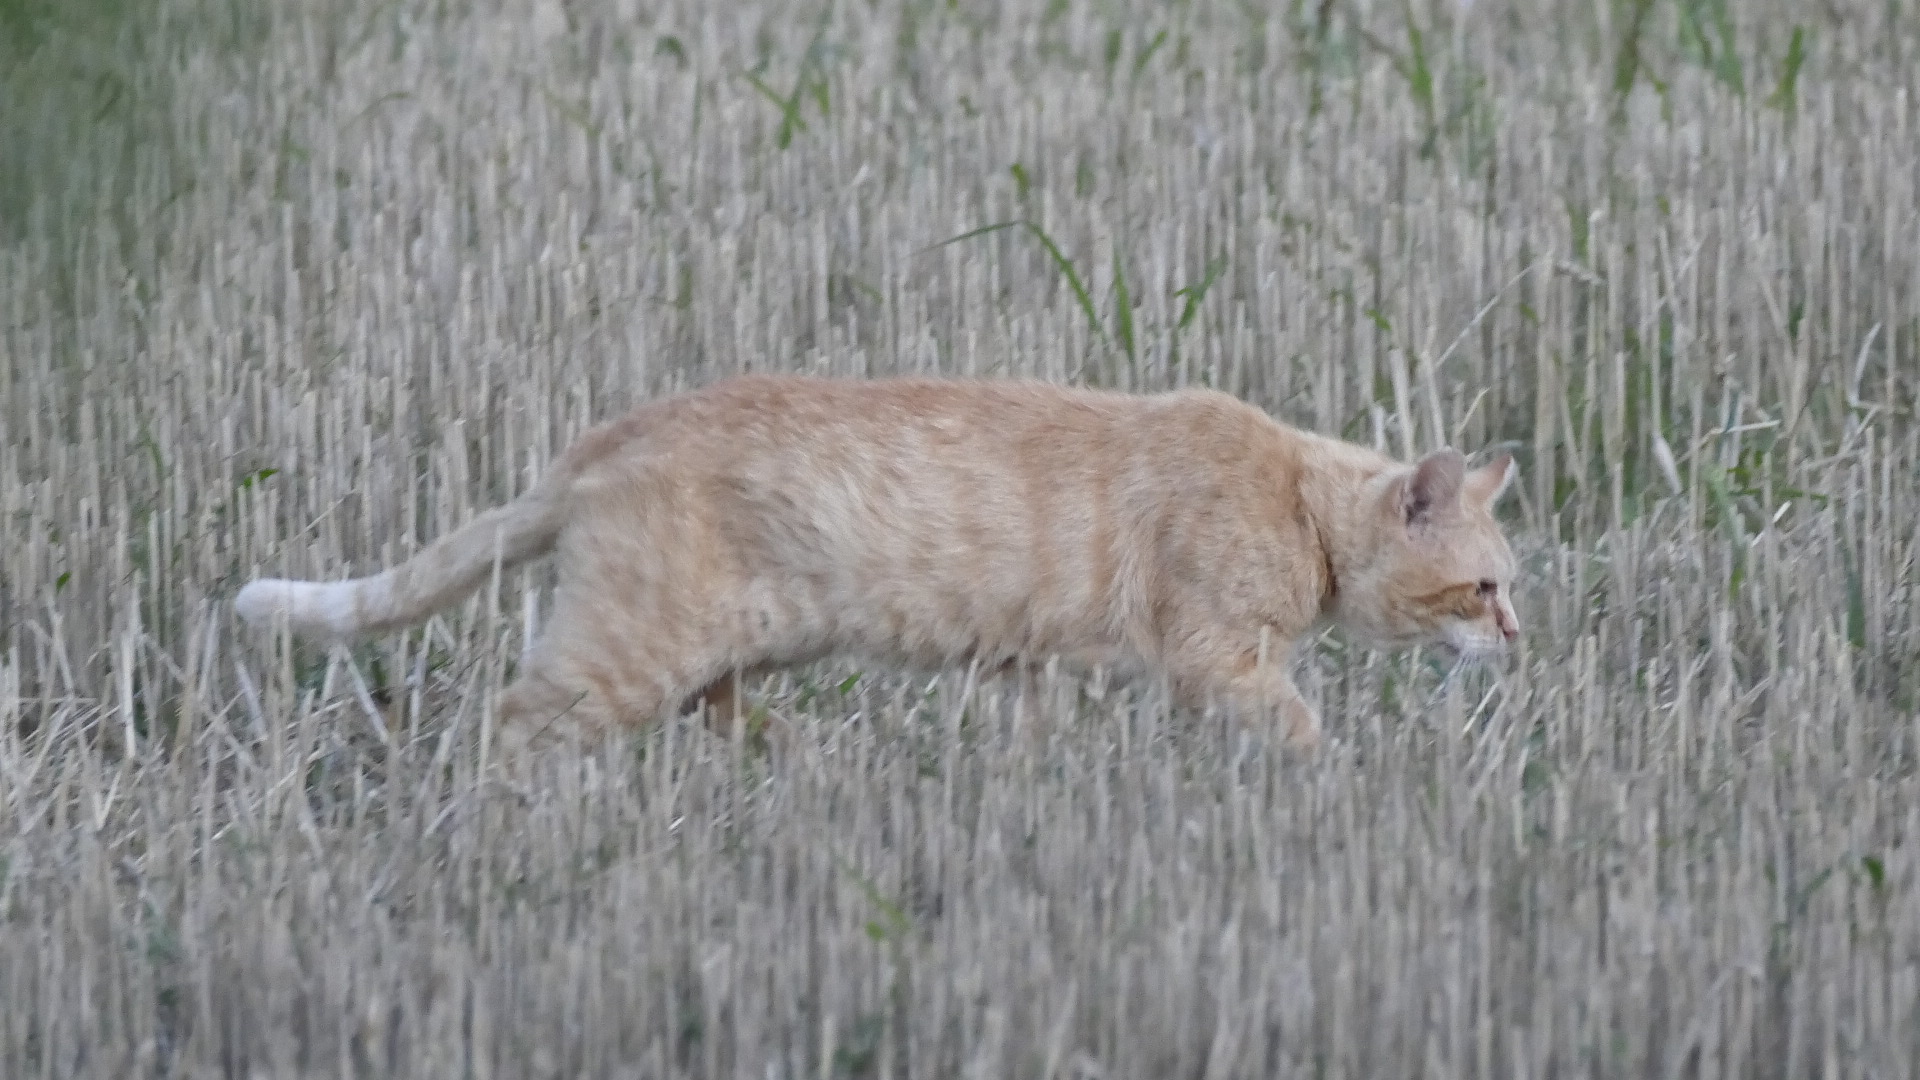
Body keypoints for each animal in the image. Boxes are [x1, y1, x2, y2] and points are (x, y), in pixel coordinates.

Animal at [232, 374, 1520, 753]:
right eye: (1486, 585)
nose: (1519, 638)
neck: (1300, 502)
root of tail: (603, 436)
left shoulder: (1030, 668)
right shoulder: (1217, 658)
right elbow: (1302, 726)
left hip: (738, 650)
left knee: (719, 715)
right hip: (629, 655)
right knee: (514, 722)